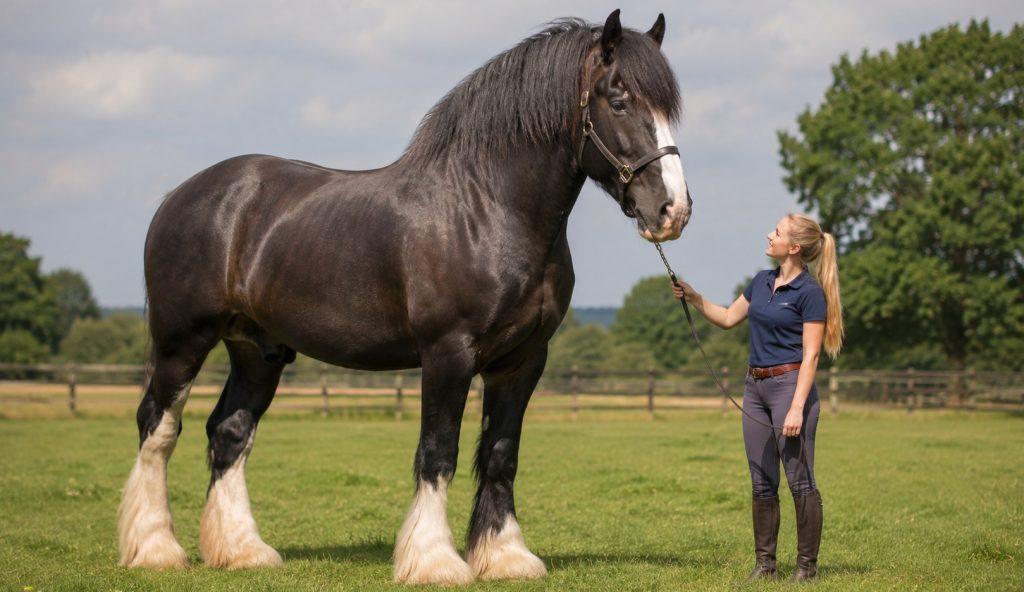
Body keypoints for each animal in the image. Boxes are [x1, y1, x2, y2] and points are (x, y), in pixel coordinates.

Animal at [118, 9, 691, 584]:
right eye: (618, 99)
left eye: (668, 109)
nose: (673, 210)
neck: (487, 208)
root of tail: (179, 196)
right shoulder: (448, 353)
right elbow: (439, 452)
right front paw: (435, 560)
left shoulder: (522, 360)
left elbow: (502, 453)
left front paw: (505, 556)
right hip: (182, 343)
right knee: (157, 426)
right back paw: (155, 549)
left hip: (257, 350)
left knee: (230, 432)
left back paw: (243, 551)